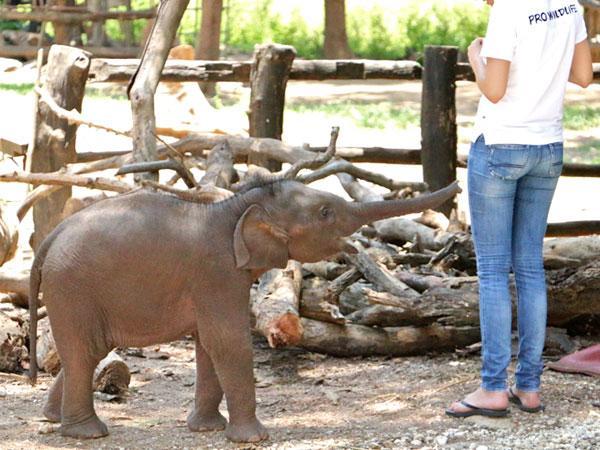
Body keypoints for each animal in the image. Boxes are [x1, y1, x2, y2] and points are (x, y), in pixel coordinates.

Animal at [29, 178, 460, 442]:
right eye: (324, 212)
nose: (458, 184)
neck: (235, 205)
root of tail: (50, 237)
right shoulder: (217, 271)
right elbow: (228, 341)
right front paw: (255, 438)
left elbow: (208, 345)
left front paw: (206, 430)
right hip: (73, 288)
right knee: (85, 351)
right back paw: (88, 433)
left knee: (85, 352)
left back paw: (55, 419)